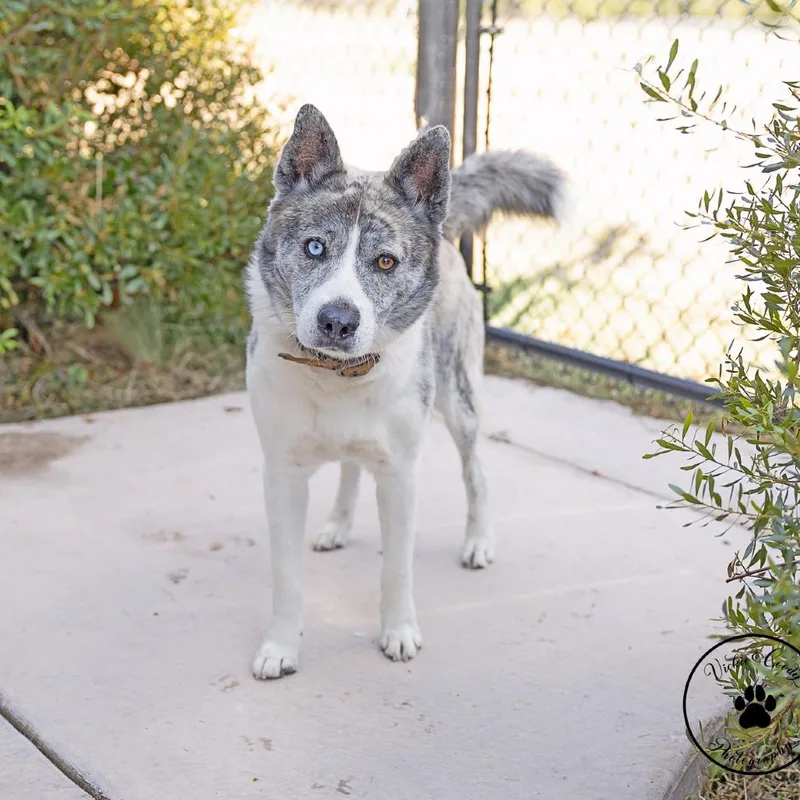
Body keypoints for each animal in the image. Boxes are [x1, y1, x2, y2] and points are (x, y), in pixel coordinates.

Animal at [245, 104, 564, 679]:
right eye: (314, 247)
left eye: (386, 262)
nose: (338, 322)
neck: (336, 376)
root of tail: (446, 228)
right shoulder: (281, 474)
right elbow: (287, 576)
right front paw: (280, 647)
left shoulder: (400, 477)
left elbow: (396, 568)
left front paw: (398, 633)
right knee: (351, 466)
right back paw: (337, 525)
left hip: (459, 400)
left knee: (476, 470)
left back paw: (479, 541)